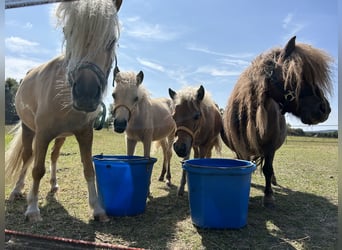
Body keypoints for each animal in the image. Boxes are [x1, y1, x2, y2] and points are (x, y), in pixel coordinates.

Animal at [5, 0, 121, 223]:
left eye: (111, 41)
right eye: (68, 32)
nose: (85, 94)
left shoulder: (85, 134)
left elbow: (88, 168)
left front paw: (97, 209)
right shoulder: (42, 134)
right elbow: (37, 169)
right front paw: (32, 209)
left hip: (61, 136)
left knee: (54, 155)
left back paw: (53, 185)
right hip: (28, 129)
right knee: (27, 156)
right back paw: (17, 190)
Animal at [223, 35, 332, 207]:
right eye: (295, 75)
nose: (325, 109)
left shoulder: (270, 146)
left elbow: (267, 168)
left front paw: (268, 196)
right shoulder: (240, 147)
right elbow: (244, 163)